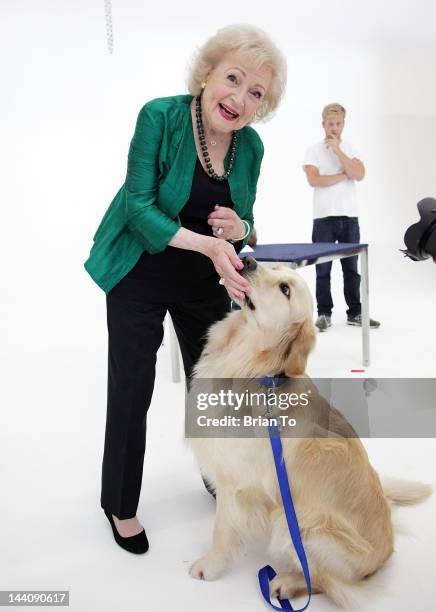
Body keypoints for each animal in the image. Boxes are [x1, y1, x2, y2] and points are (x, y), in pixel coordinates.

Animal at [186, 255, 432, 608]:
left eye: (285, 290)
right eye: (275, 269)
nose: (248, 259)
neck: (251, 368)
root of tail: (386, 554)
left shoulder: (235, 484)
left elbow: (222, 530)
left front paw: (209, 566)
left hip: (297, 524)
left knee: (325, 582)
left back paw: (286, 584)